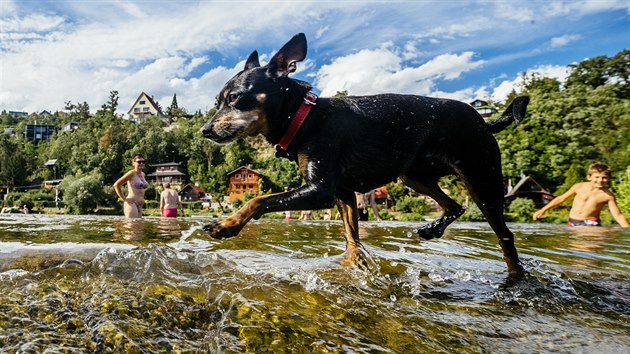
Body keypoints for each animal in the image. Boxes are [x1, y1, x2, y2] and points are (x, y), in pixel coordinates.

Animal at [201, 33, 528, 272]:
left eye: (234, 98)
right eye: (217, 101)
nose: (205, 130)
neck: (305, 118)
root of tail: (484, 121)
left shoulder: (322, 190)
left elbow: (258, 200)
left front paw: (227, 224)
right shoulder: (344, 194)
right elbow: (351, 237)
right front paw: (354, 262)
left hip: (481, 179)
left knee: (505, 237)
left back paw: (514, 276)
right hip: (414, 176)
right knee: (455, 206)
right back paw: (432, 230)